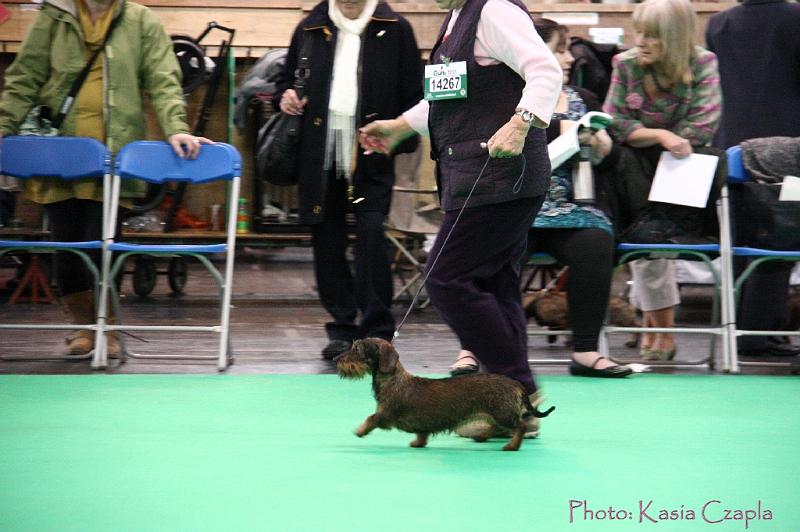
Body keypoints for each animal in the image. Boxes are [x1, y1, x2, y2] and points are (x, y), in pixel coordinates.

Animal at [334, 338, 552, 450]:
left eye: (357, 349)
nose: (336, 359)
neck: (393, 380)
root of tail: (516, 384)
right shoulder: (421, 424)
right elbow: (421, 434)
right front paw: (417, 443)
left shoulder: (385, 414)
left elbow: (371, 418)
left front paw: (360, 430)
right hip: (494, 414)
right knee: (496, 427)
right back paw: (481, 436)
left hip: (502, 413)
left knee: (520, 426)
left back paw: (512, 446)